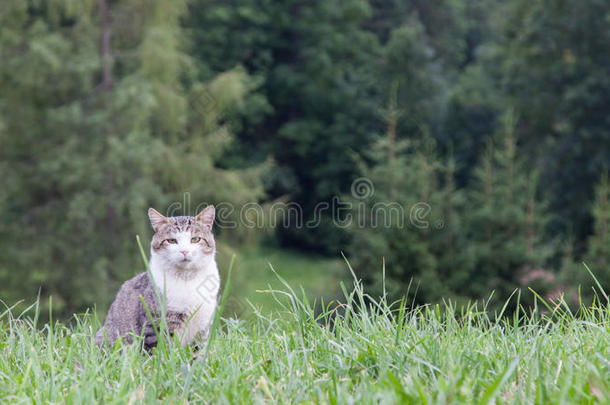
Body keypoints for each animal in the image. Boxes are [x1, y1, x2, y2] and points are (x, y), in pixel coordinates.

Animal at [94, 205, 220, 350]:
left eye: (195, 239)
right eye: (171, 240)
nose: (184, 251)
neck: (187, 277)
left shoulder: (203, 327)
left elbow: (196, 352)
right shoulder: (156, 324)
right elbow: (161, 350)